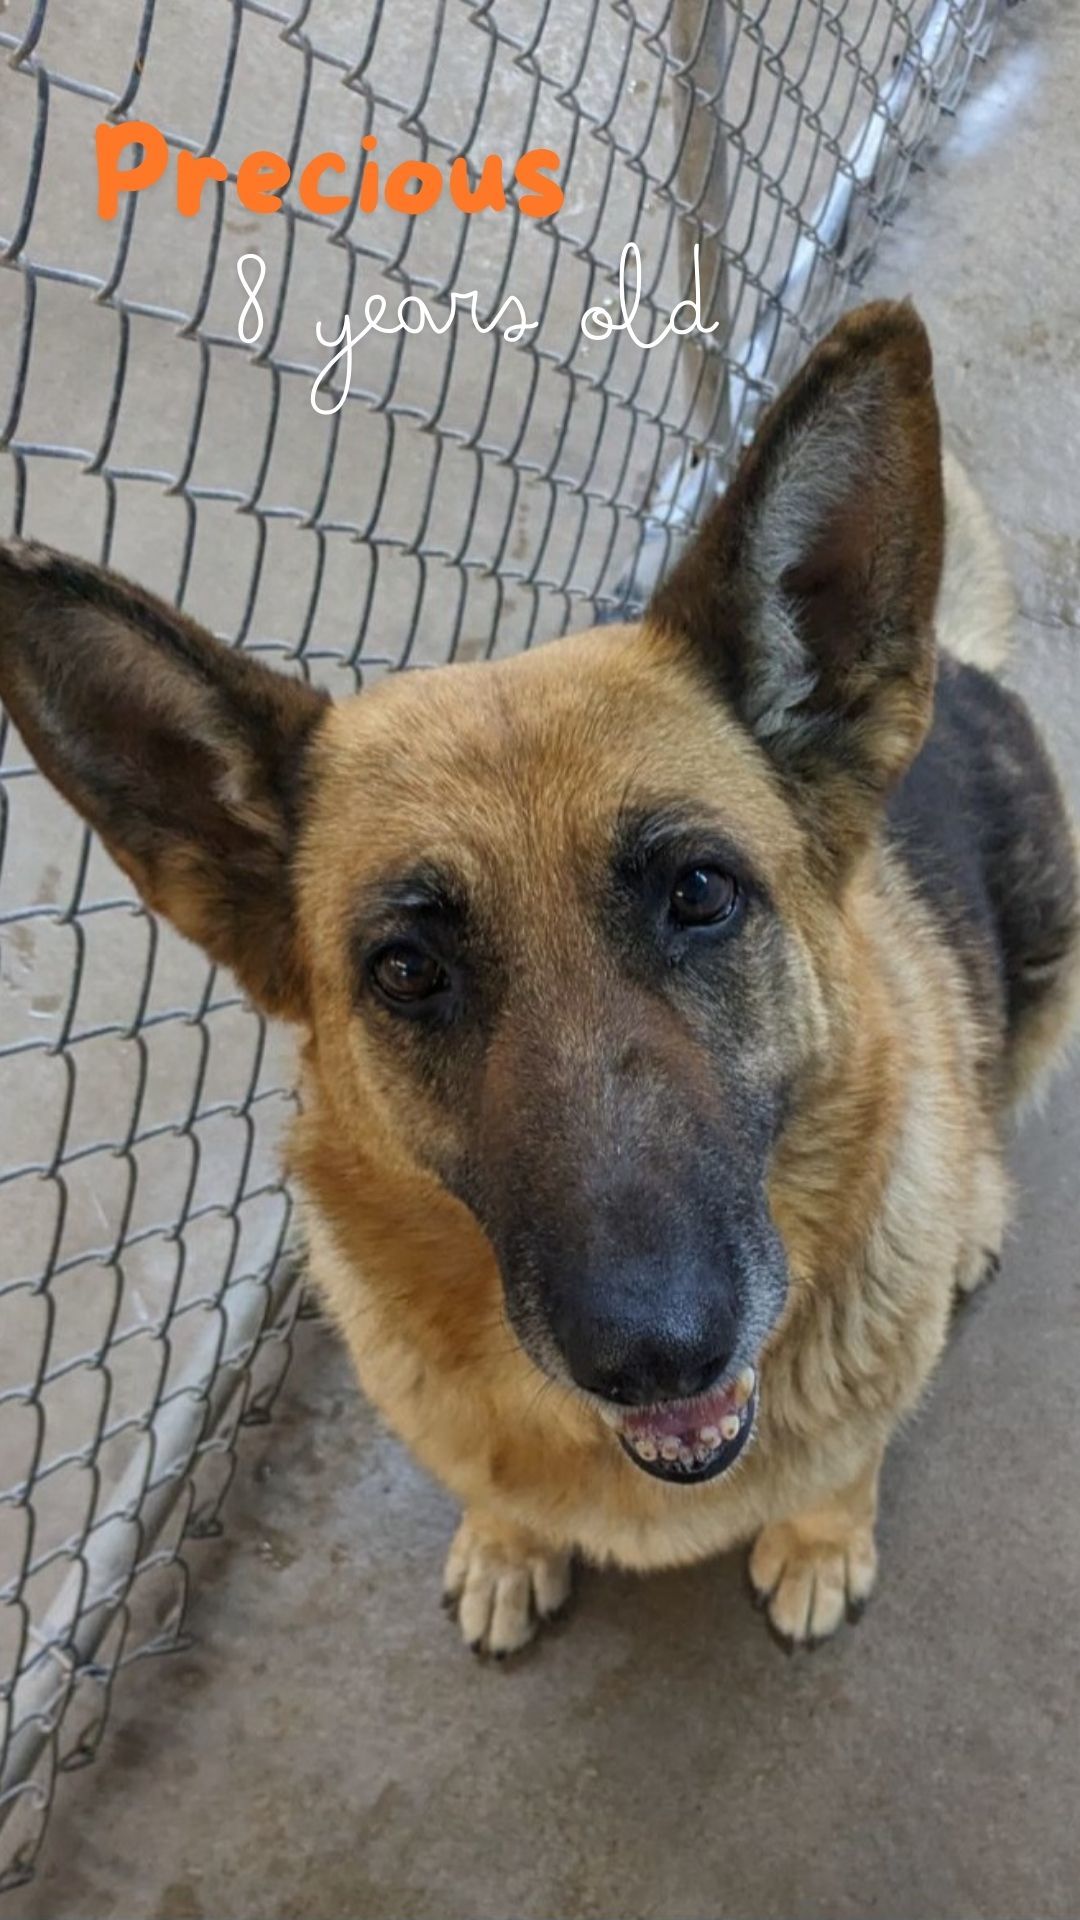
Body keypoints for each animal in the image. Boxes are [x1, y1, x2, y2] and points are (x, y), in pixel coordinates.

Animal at [2, 303, 1076, 1651]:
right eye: (408, 969)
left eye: (701, 893)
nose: (656, 1353)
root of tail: (958, 661)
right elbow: (495, 1492)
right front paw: (508, 1544)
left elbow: (848, 1462)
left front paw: (821, 1540)